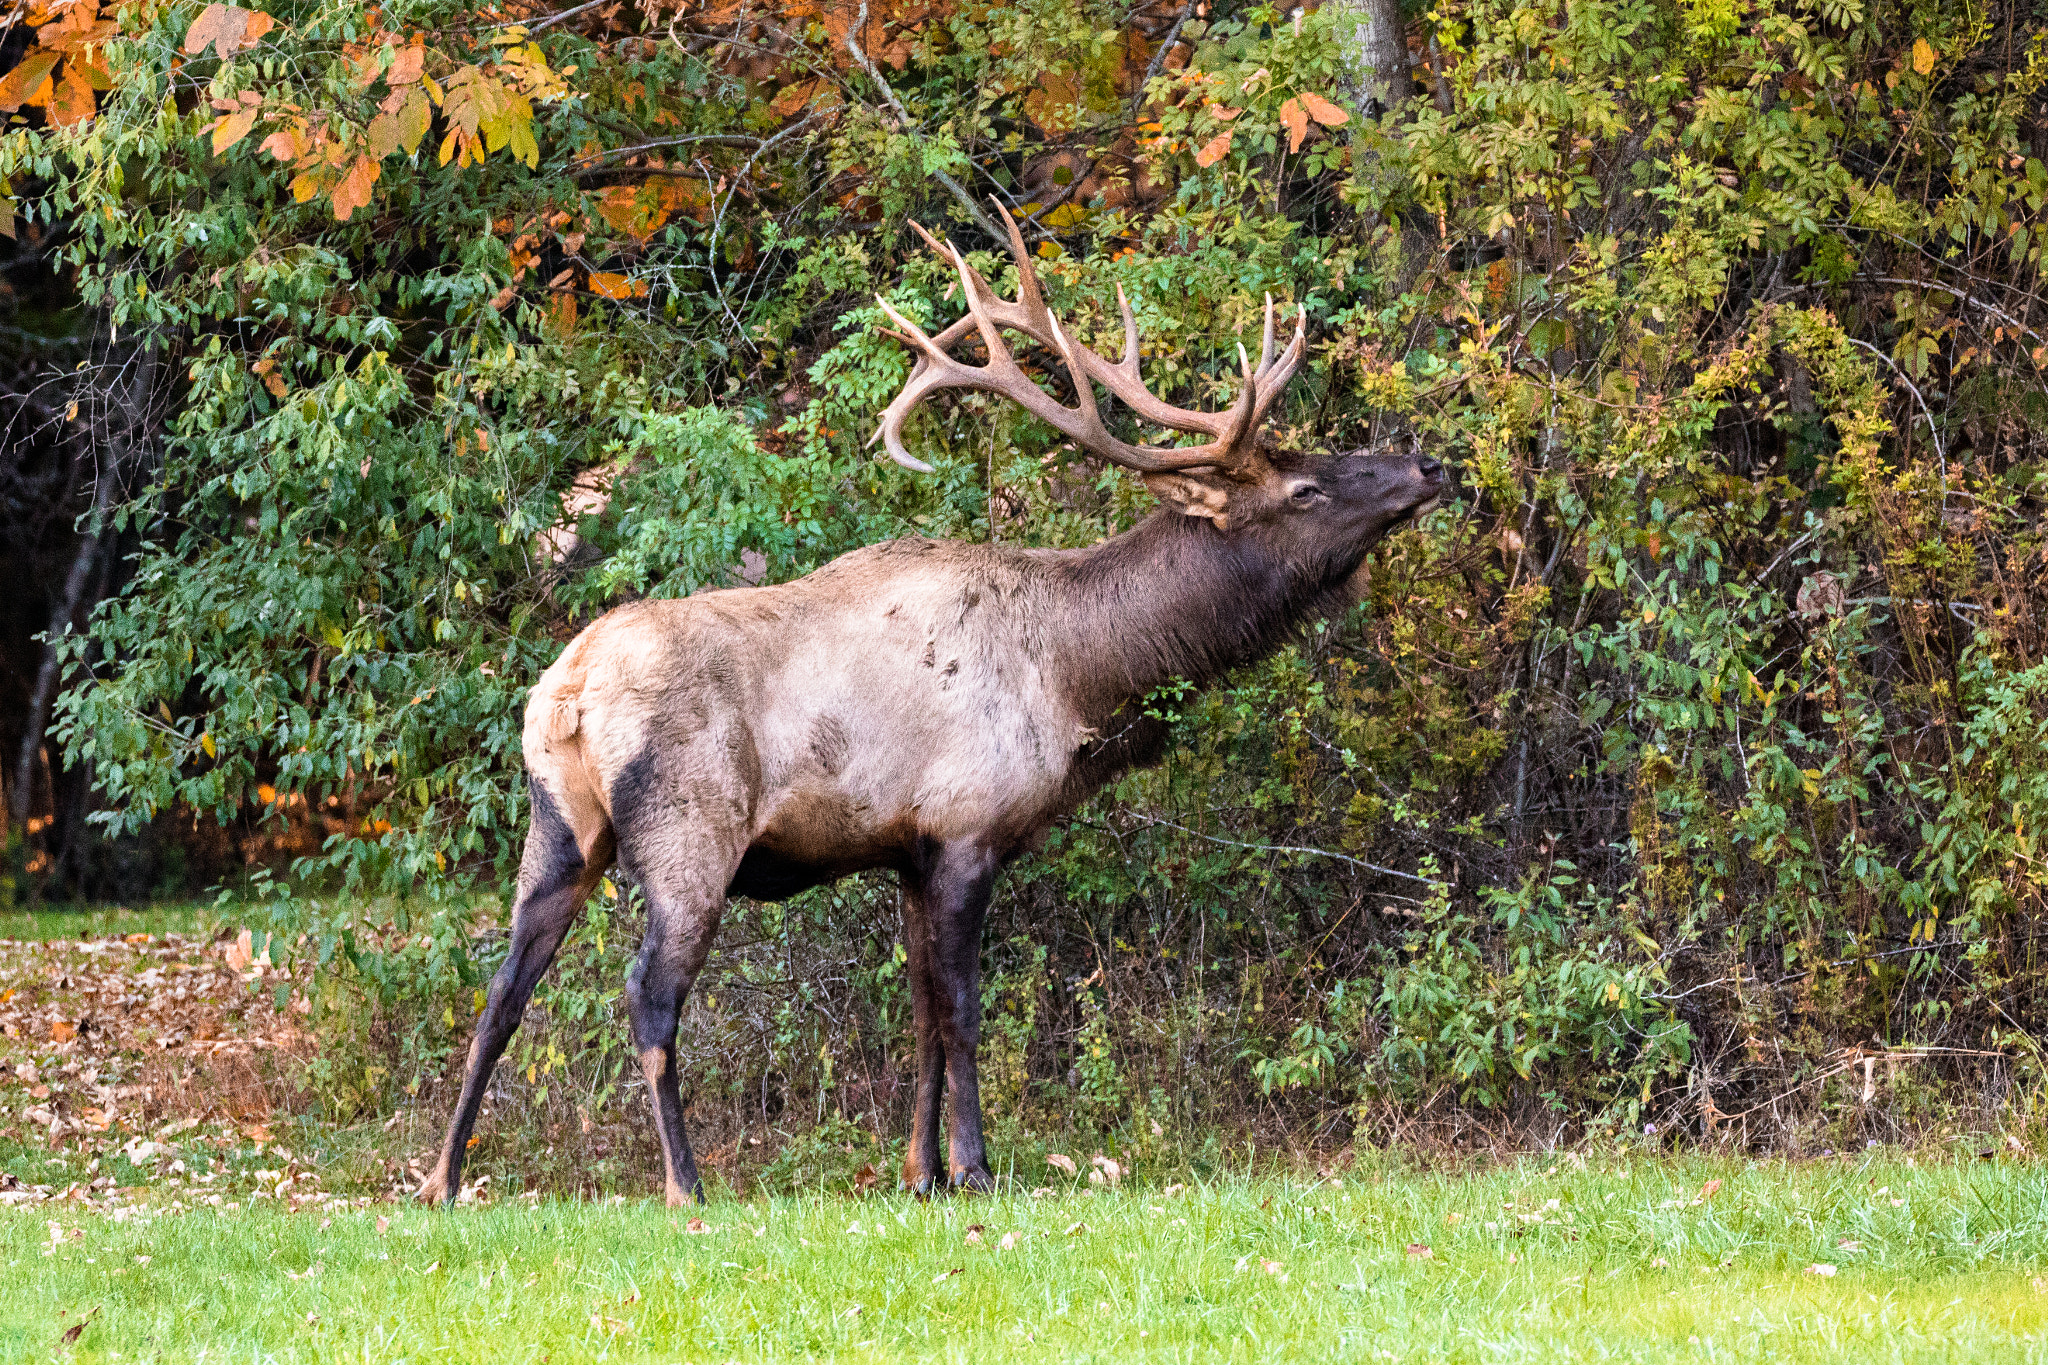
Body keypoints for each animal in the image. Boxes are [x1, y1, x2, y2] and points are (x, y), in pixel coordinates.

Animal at [418, 207, 1443, 1206]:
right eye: (1304, 488)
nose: (1428, 466)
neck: (1078, 676)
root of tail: (568, 690)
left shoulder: (906, 849)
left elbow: (917, 1015)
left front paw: (922, 1173)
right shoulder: (966, 827)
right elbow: (964, 1010)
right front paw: (978, 1168)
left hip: (558, 826)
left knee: (500, 991)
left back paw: (441, 1180)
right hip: (688, 828)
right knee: (647, 993)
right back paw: (685, 1184)